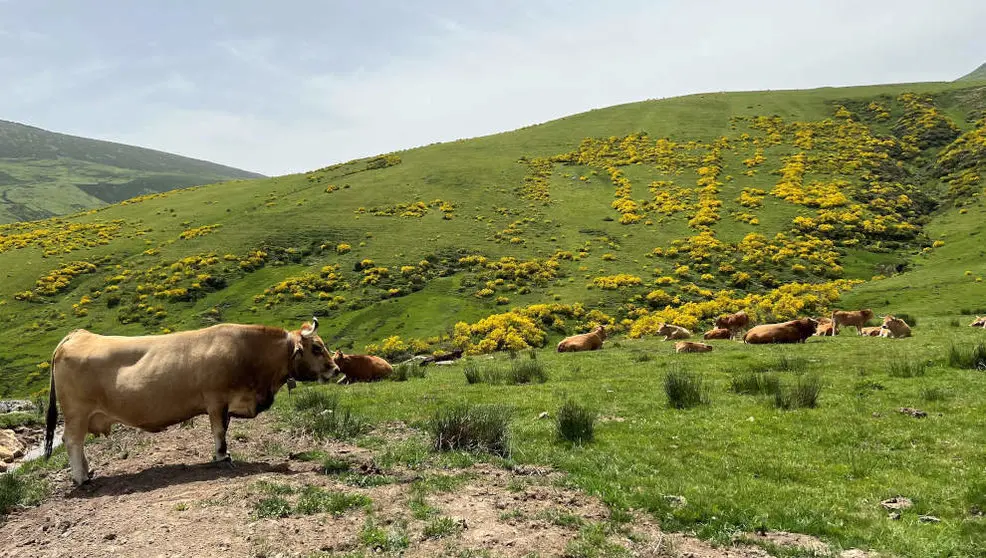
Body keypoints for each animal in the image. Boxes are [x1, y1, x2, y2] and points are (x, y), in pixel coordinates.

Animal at [44, 318, 337, 486]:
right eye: (316, 348)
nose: (335, 369)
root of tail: (79, 334)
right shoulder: (215, 400)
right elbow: (219, 432)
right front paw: (222, 456)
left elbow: (224, 429)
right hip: (77, 413)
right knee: (72, 441)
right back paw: (81, 478)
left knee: (78, 444)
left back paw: (88, 471)